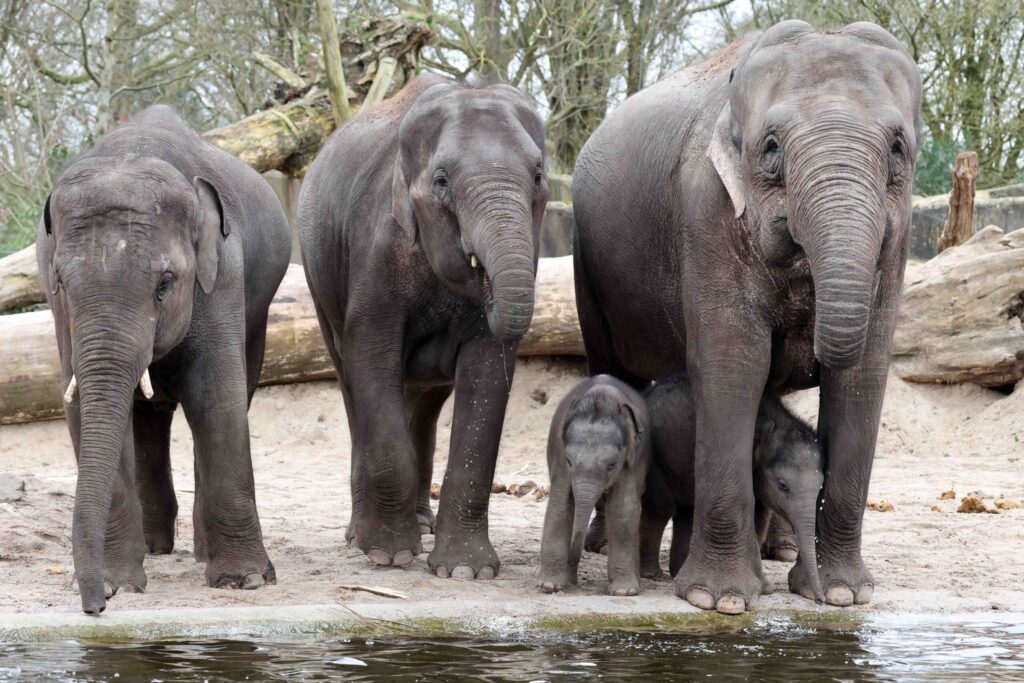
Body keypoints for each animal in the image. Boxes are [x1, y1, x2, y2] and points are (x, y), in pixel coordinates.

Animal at [37, 105, 290, 614]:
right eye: (62, 284)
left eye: (165, 284)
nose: (94, 608)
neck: (130, 153)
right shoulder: (59, 313)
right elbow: (81, 407)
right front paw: (118, 583)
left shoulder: (222, 276)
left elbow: (217, 401)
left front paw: (246, 581)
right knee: (146, 416)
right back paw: (156, 548)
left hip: (258, 313)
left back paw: (199, 551)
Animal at [298, 74, 548, 577]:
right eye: (442, 181)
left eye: (537, 176)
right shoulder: (377, 253)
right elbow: (371, 355)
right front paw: (388, 556)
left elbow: (487, 375)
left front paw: (465, 571)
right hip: (320, 285)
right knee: (350, 383)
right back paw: (359, 536)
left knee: (426, 400)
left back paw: (421, 523)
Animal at [538, 375, 650, 596]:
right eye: (569, 461)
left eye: (612, 465)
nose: (572, 582)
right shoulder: (559, 456)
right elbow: (560, 503)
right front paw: (549, 586)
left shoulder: (633, 461)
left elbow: (623, 508)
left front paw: (624, 592)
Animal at [636, 375, 825, 604]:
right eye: (782, 485)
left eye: (821, 487)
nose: (820, 600)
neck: (778, 420)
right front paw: (762, 587)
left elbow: (759, 519)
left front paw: (763, 587)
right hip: (656, 456)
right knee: (660, 508)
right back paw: (653, 574)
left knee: (687, 510)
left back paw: (678, 571)